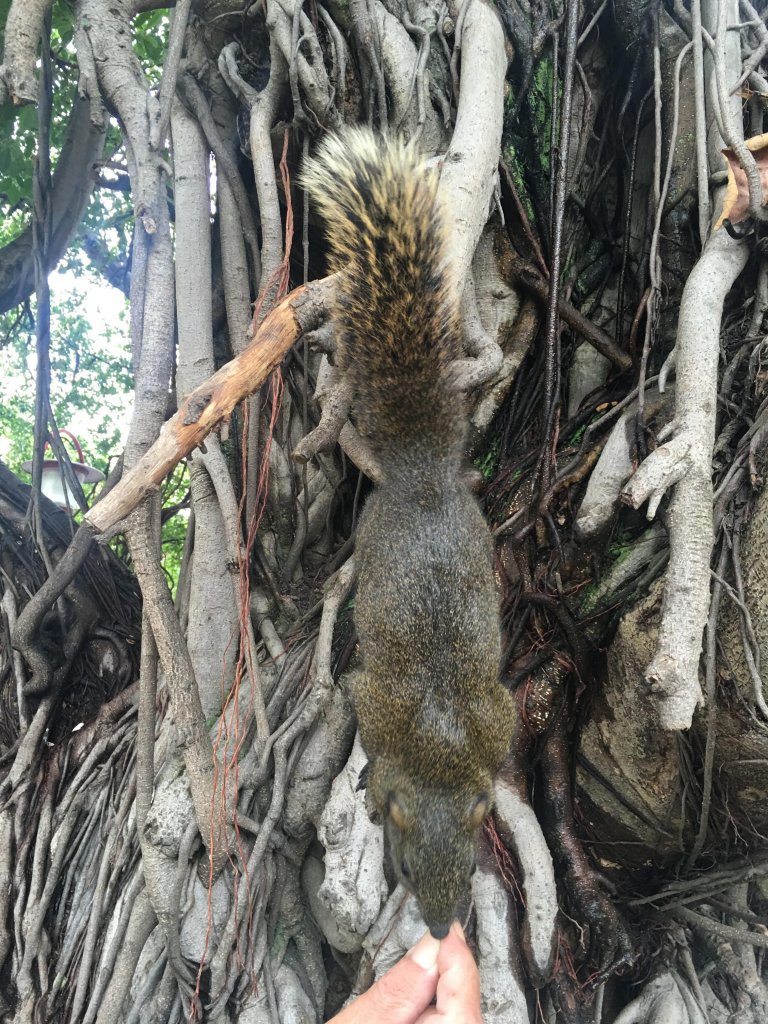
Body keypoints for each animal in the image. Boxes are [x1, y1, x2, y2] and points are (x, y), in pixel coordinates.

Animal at [303, 128, 518, 937]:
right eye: (402, 865)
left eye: (470, 862)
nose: (441, 927)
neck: (438, 755)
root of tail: (423, 477)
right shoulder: (371, 700)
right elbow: (359, 705)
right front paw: (366, 788)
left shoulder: (496, 720)